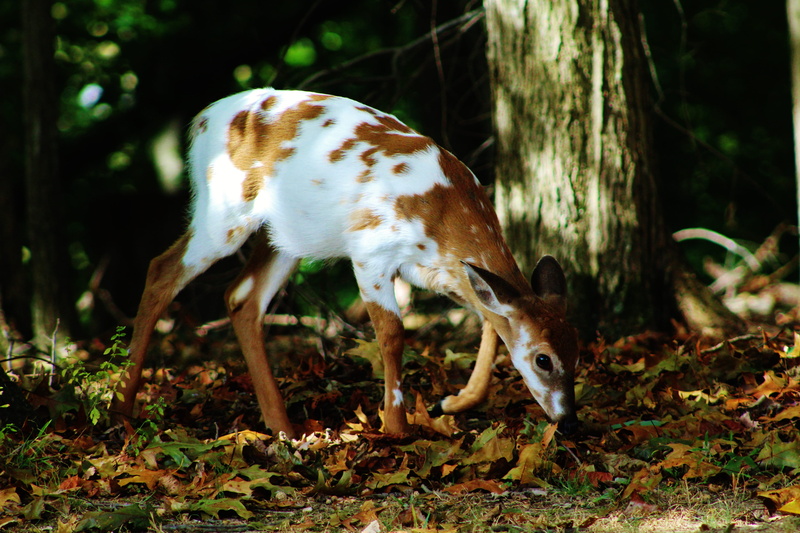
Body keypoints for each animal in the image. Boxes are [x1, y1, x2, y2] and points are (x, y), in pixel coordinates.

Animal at [113, 88, 581, 439]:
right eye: (543, 359)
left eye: (577, 352)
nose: (569, 420)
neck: (442, 216)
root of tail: (200, 121)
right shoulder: (371, 250)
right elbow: (393, 334)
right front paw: (396, 427)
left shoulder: (441, 273)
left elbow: (489, 320)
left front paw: (458, 400)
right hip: (225, 209)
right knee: (162, 269)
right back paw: (122, 409)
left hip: (286, 235)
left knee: (242, 297)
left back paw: (282, 427)